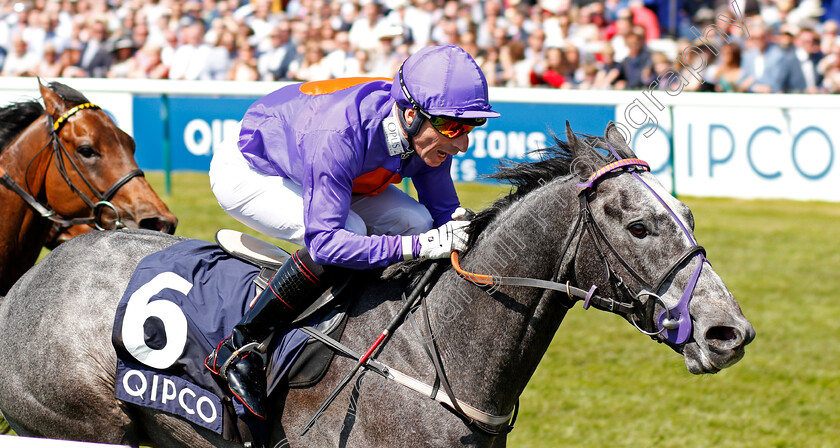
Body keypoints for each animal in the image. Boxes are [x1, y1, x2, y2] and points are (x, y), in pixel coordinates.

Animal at [0, 122, 756, 448]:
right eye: (639, 226)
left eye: (688, 215)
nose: (730, 333)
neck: (433, 359)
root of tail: (26, 286)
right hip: (76, 423)